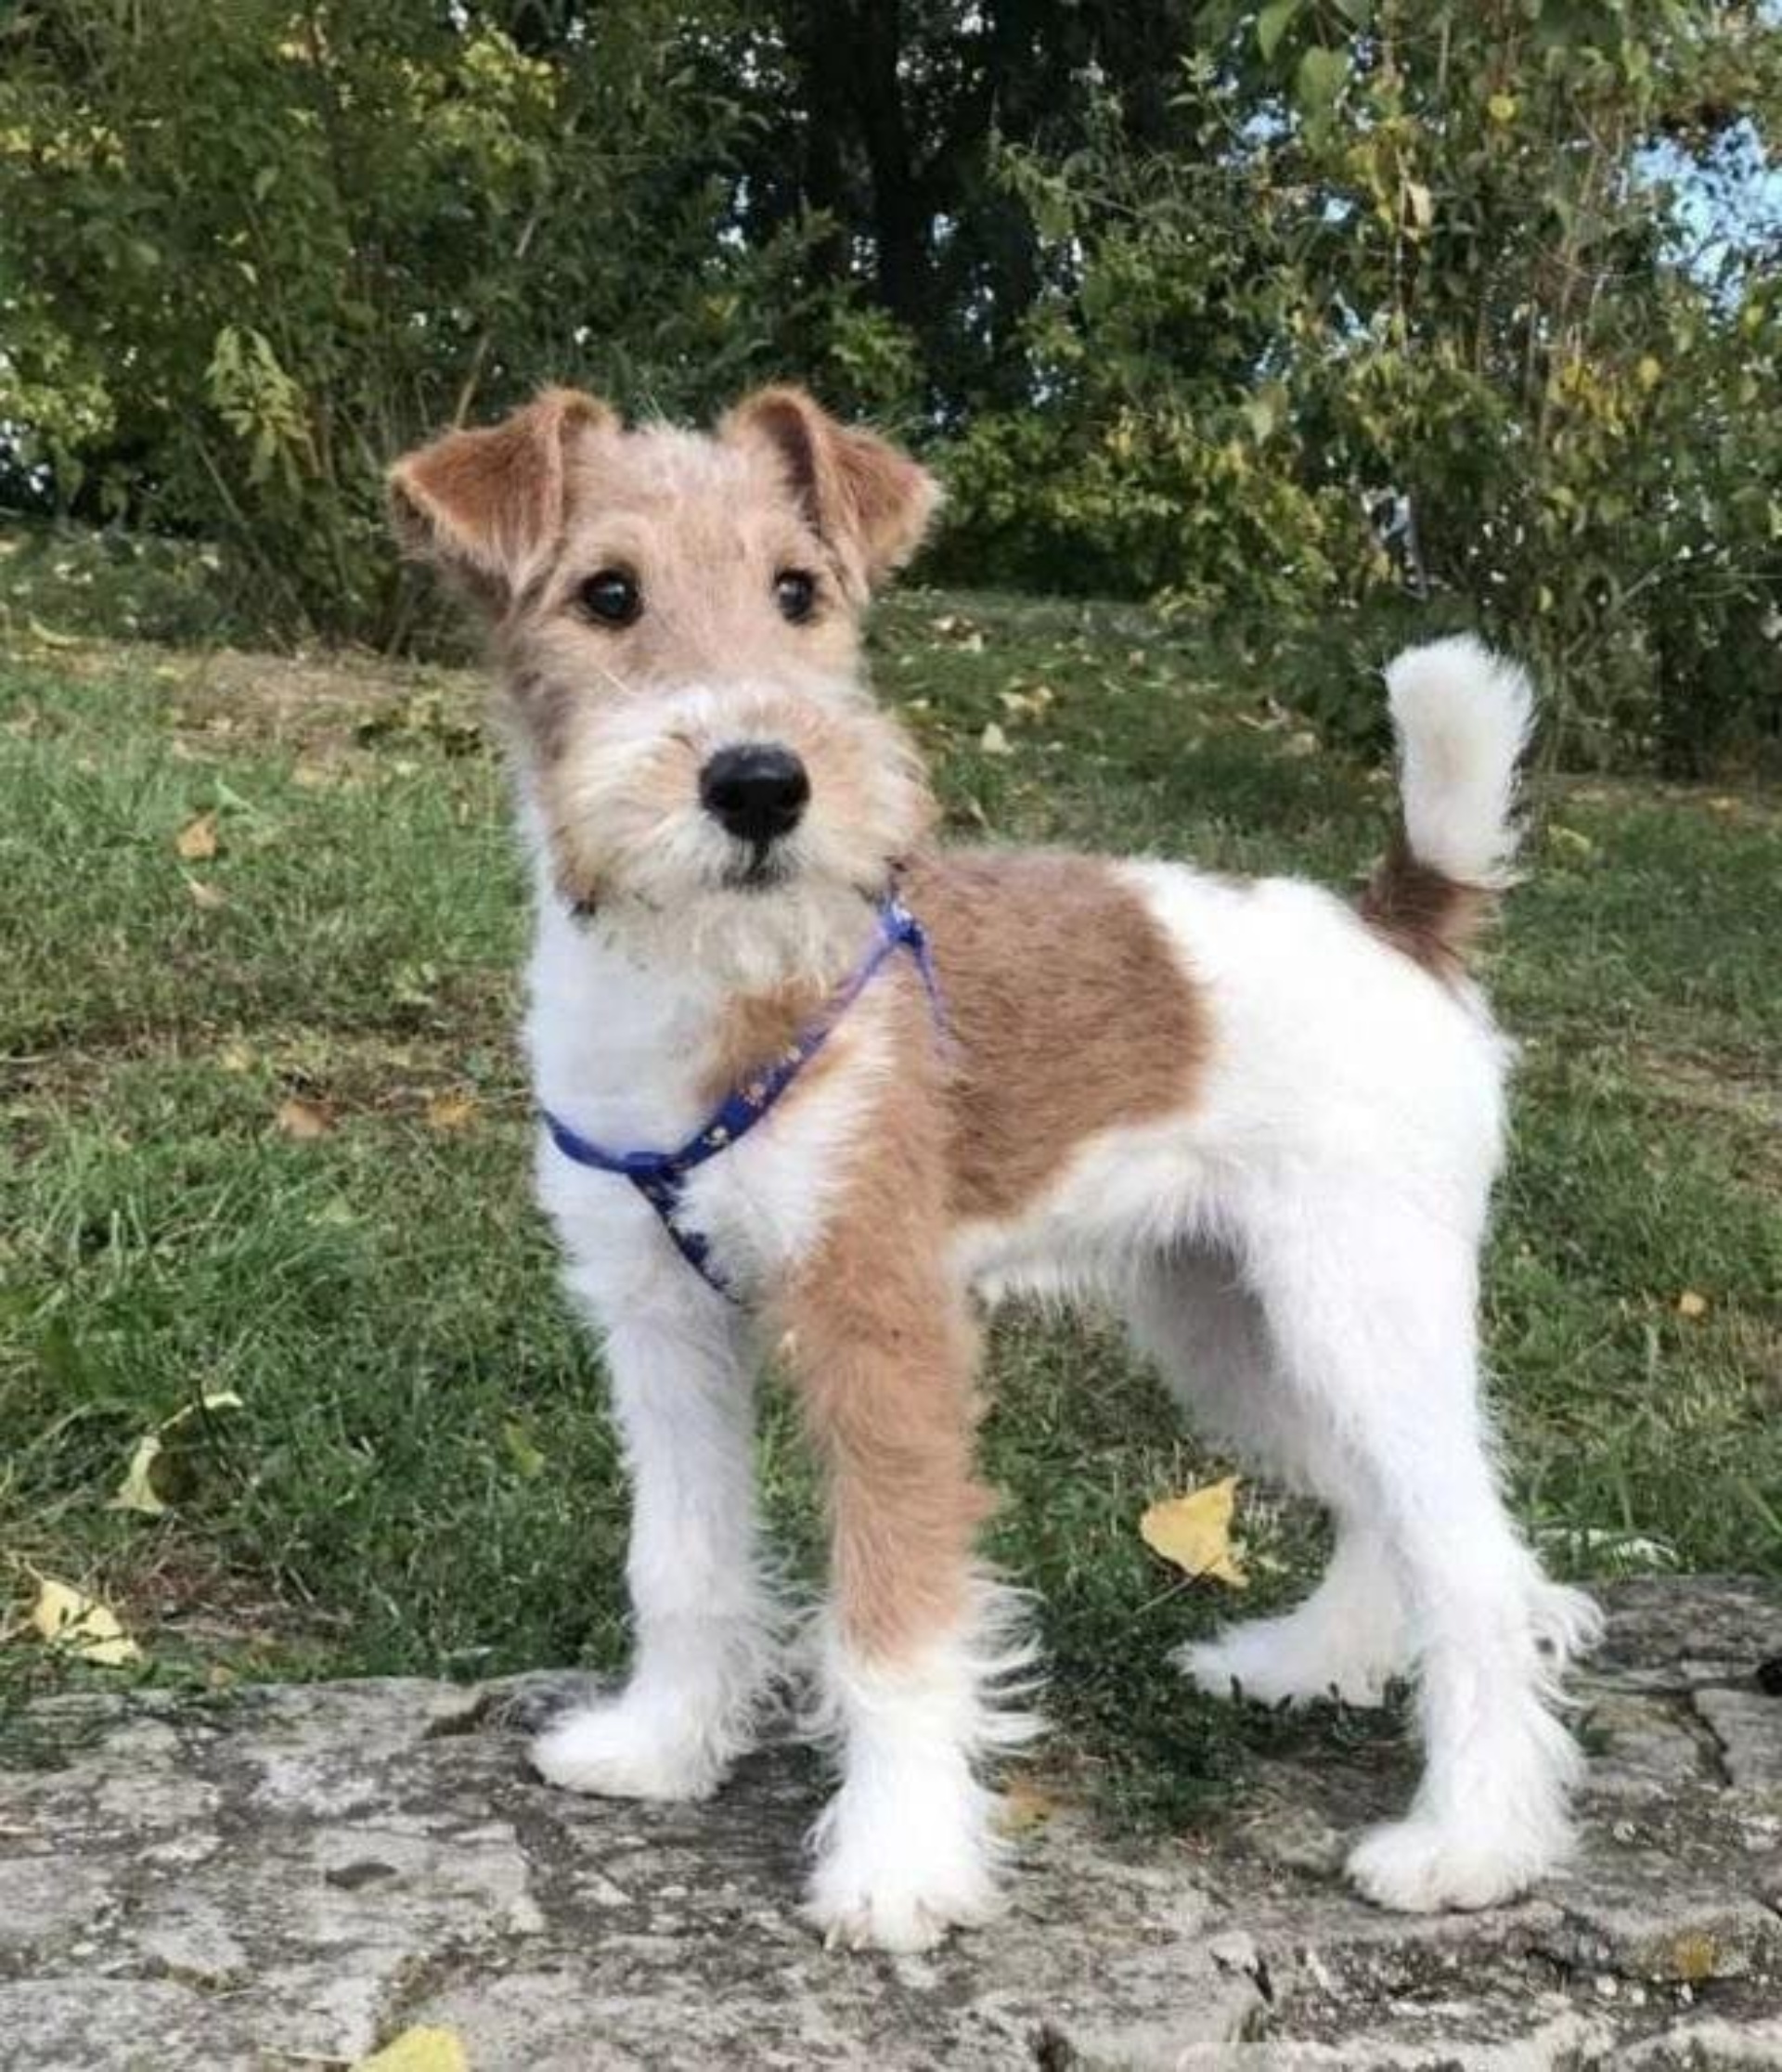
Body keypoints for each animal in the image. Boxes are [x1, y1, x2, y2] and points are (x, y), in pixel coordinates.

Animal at [385, 385, 1599, 1939]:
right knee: (1385, 1515)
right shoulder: (656, 1322)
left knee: (1477, 1563)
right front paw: (663, 1744)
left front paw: (900, 1861)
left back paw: (1471, 1842)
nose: (761, 784)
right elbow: (683, 1562)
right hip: (1235, 1327)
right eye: (607, 594)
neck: (710, 979)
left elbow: (895, 1619)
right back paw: (1302, 1662)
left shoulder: (881, 1323)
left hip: (1358, 1305)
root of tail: (1399, 919)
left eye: (801, 591)